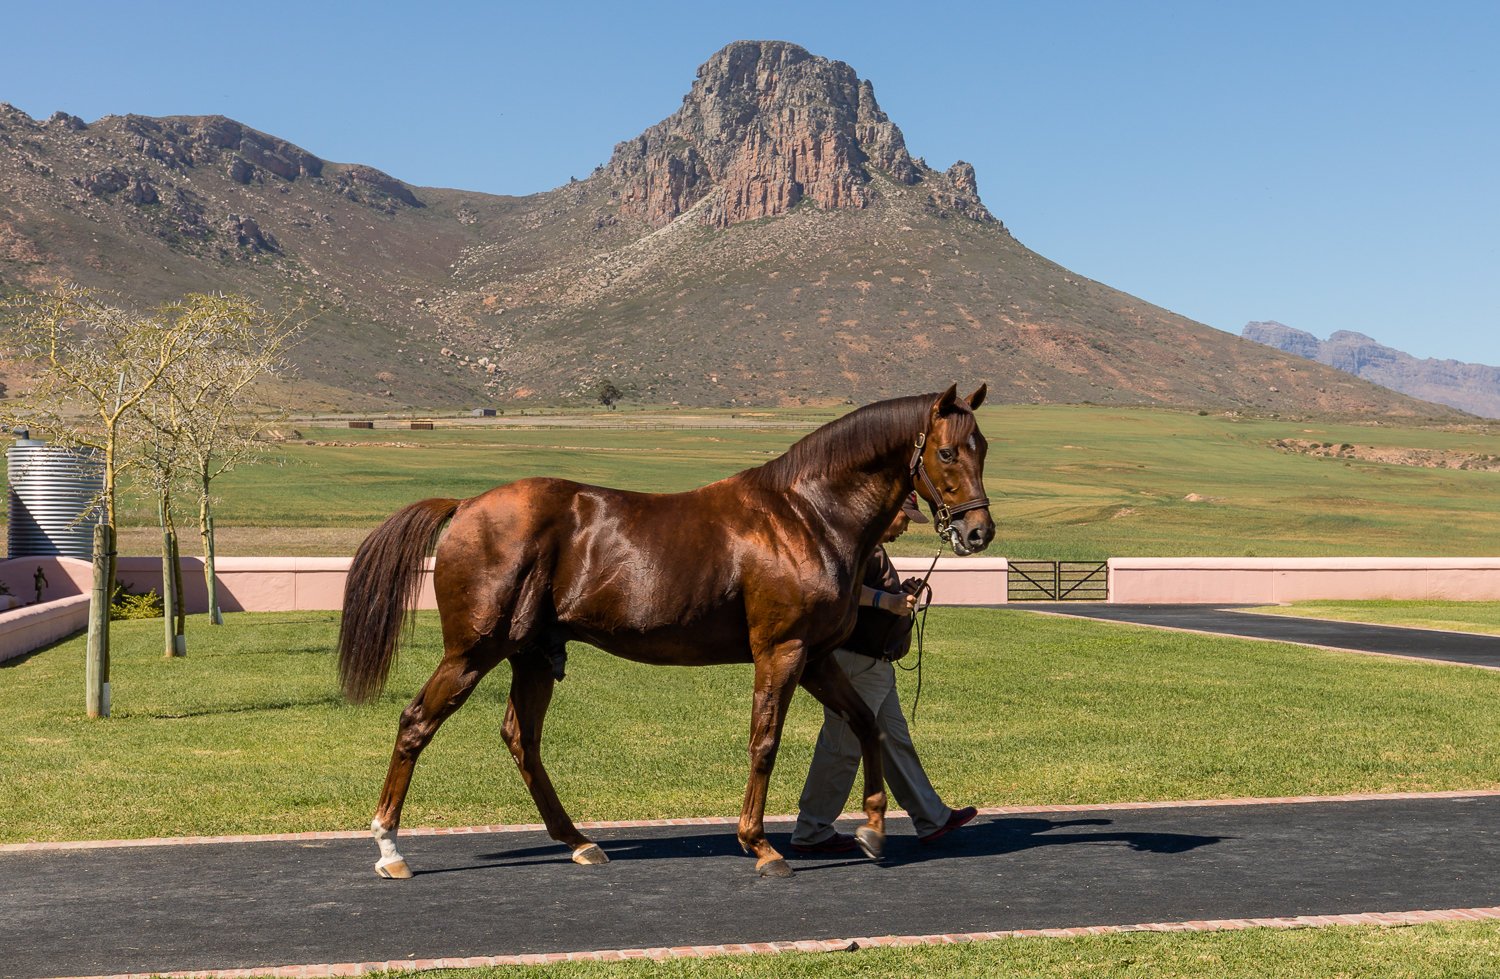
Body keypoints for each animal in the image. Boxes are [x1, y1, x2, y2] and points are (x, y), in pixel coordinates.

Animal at [340, 383, 996, 875]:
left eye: (983, 446)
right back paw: (389, 847)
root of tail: (465, 506)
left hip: (532, 655)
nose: (979, 533)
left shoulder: (815, 657)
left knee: (521, 739)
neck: (805, 515)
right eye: (947, 453)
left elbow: (865, 725)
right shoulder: (780, 652)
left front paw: (875, 828)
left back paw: (578, 840)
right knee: (416, 723)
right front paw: (760, 845)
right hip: (473, 651)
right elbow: (765, 741)